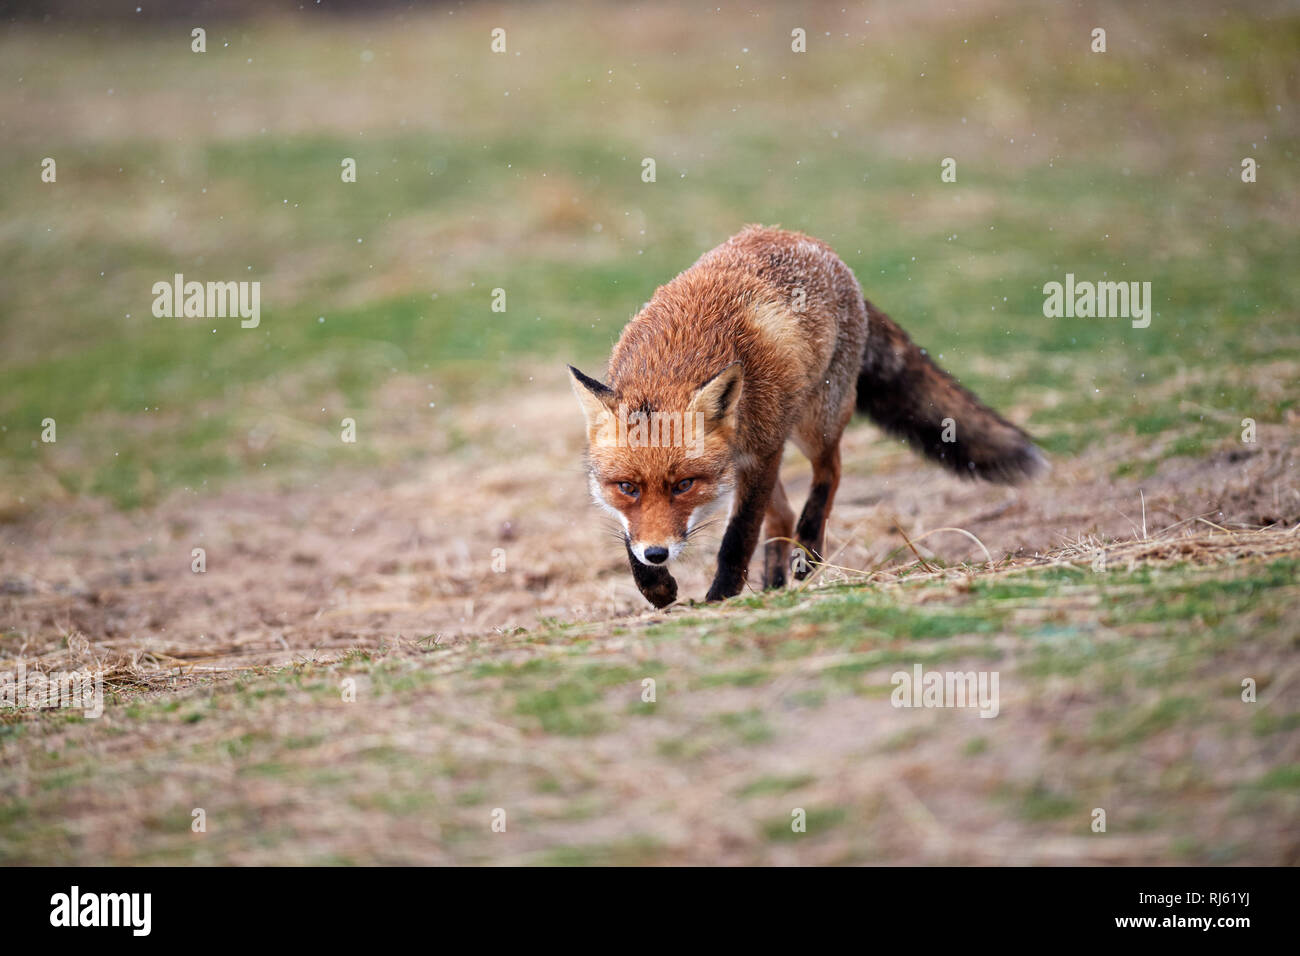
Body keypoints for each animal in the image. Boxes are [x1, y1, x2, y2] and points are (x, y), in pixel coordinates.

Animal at [568, 225, 1045, 608]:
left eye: (684, 485)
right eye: (627, 487)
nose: (658, 554)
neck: (674, 358)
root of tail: (812, 242)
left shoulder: (761, 455)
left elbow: (737, 537)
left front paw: (721, 595)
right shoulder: (748, 462)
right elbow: (630, 538)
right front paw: (656, 586)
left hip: (812, 423)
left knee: (828, 473)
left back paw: (808, 550)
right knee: (781, 516)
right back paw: (773, 580)